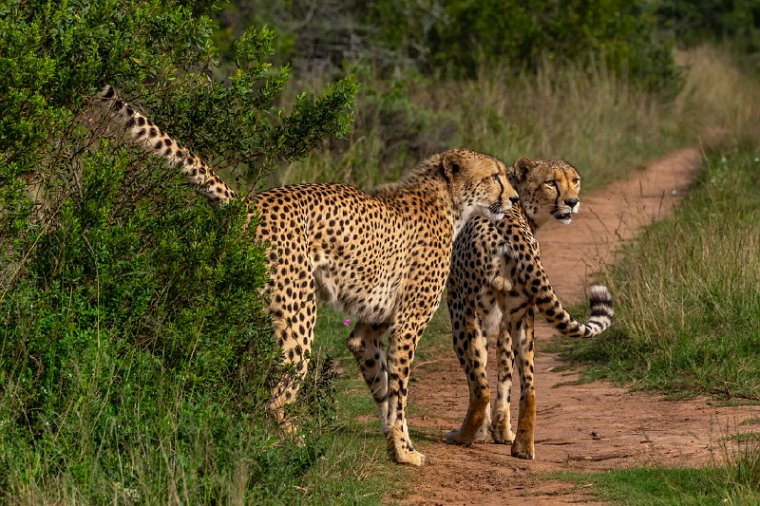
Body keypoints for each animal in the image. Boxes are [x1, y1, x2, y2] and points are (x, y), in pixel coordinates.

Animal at [92, 84, 520, 466]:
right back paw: (297, 445)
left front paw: (392, 443)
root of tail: (248, 202)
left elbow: (382, 388)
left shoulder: (369, 330)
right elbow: (399, 394)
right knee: (271, 396)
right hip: (296, 316)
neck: (448, 202)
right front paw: (404, 450)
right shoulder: (408, 326)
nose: (514, 198)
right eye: (495, 176)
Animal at [442, 157, 616, 458]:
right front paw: (501, 433)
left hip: (462, 313)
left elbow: (487, 373)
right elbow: (505, 377)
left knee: (480, 388)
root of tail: (509, 231)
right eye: (551, 182)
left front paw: (485, 433)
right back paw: (522, 446)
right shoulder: (506, 320)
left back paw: (463, 436)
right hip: (522, 317)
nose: (572, 202)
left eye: (575, 180)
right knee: (529, 387)